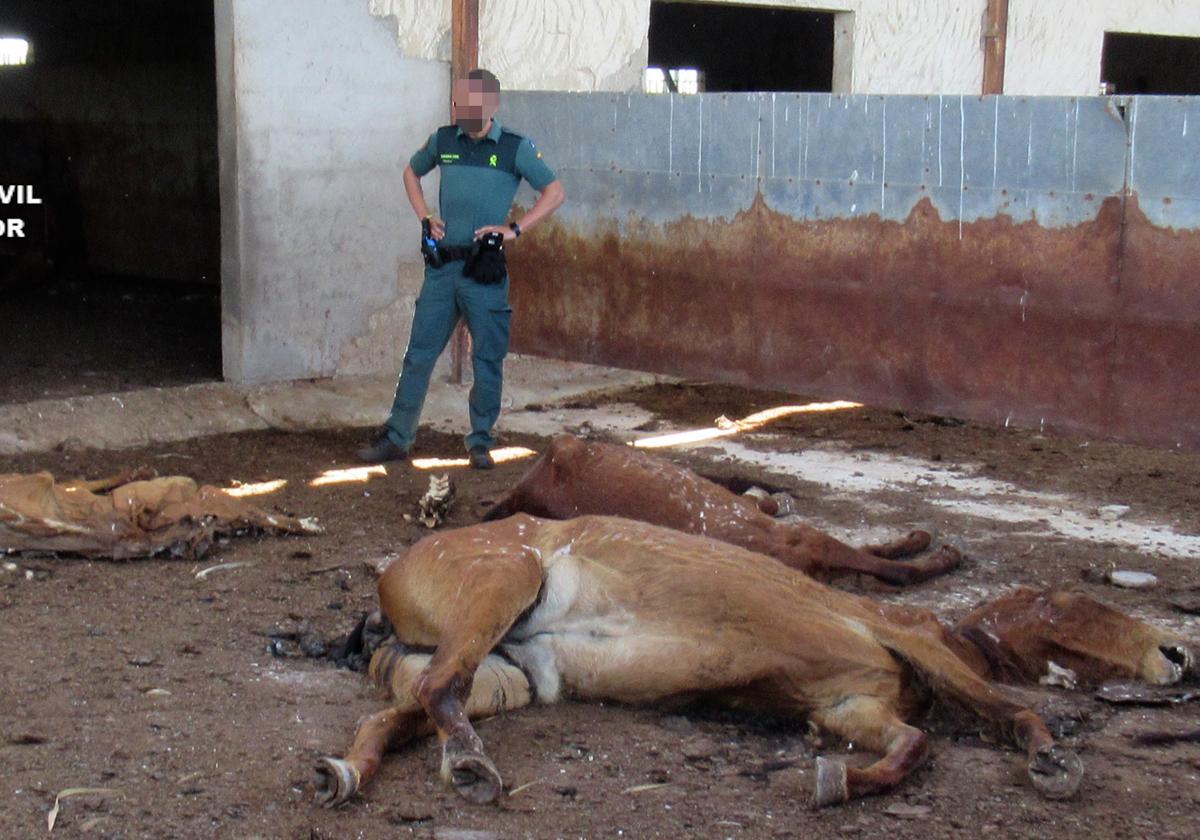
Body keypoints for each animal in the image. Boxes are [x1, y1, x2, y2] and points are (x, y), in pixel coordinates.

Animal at [314, 516, 1084, 811]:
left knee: (400, 712)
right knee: (440, 687)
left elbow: (914, 744)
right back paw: (471, 765)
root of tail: (388, 589)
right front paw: (1052, 760)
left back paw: (344, 774)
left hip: (506, 679)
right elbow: (1008, 709)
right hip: (505, 578)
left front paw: (837, 779)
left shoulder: (847, 704)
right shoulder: (900, 631)